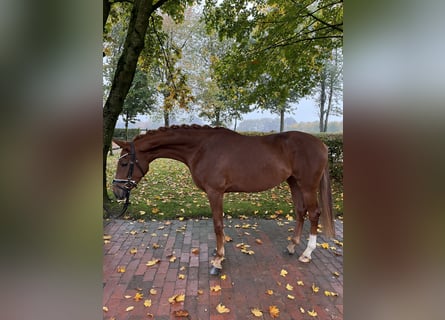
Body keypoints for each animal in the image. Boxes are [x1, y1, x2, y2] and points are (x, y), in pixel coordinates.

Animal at [111, 125, 332, 276]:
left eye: (124, 163)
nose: (117, 192)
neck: (201, 148)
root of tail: (321, 144)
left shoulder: (215, 192)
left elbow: (218, 225)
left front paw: (217, 260)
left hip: (307, 185)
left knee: (314, 214)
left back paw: (307, 253)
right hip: (294, 182)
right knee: (300, 211)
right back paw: (292, 246)